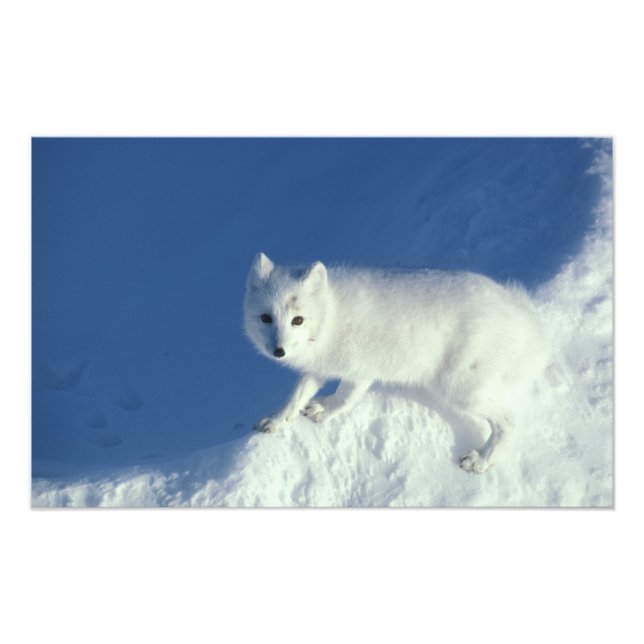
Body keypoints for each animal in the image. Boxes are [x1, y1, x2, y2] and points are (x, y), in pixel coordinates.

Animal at [244, 252, 549, 473]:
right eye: (266, 318)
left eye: (298, 320)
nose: (279, 351)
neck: (331, 316)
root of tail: (516, 311)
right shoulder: (319, 368)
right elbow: (296, 397)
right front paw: (276, 421)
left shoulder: (360, 371)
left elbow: (344, 398)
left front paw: (325, 411)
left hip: (458, 389)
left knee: (508, 421)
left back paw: (482, 460)